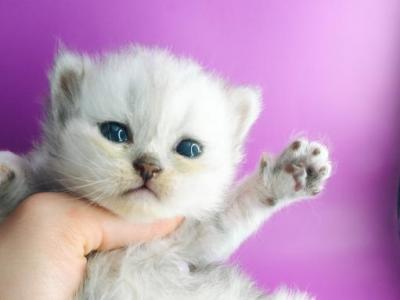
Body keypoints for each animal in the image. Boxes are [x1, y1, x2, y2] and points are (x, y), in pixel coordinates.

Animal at [0, 45, 332, 298]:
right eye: (115, 133)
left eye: (189, 149)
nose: (148, 166)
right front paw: (7, 172)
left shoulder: (187, 244)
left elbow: (231, 215)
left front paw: (290, 173)